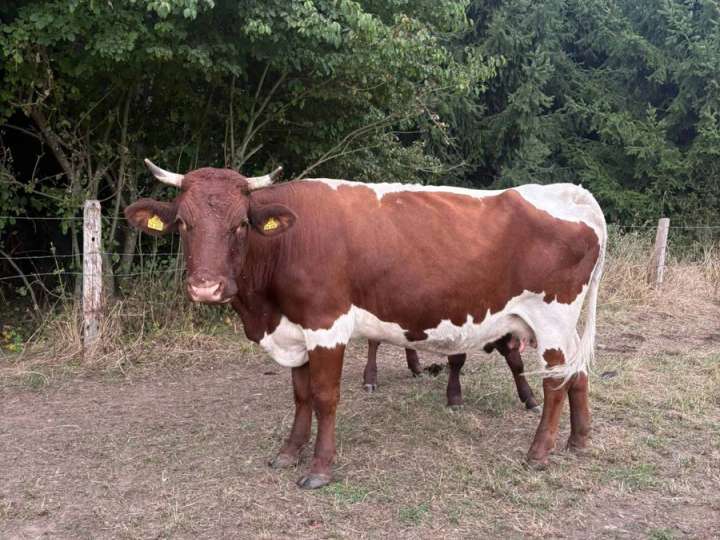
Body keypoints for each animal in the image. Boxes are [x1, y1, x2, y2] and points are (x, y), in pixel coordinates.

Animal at [363, 337, 540, 411]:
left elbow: (516, 362)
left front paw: (529, 398)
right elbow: (457, 360)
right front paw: (454, 398)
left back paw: (416, 368)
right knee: (373, 339)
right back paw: (370, 379)